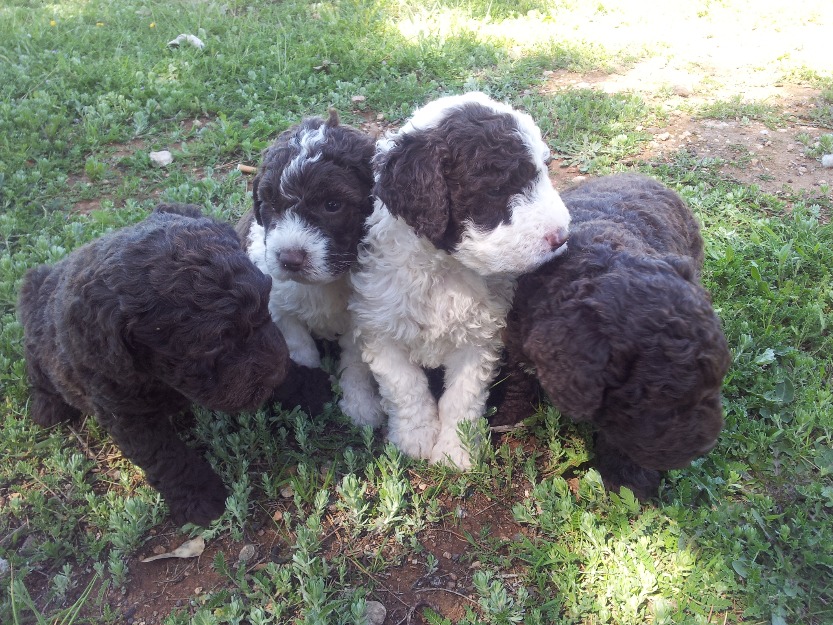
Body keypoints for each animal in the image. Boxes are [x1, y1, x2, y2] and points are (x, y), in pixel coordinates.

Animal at [17, 202, 290, 524]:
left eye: (266, 300)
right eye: (213, 346)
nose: (278, 372)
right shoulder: (127, 415)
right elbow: (167, 458)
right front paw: (200, 497)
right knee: (36, 368)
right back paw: (47, 407)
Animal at [236, 111, 382, 424]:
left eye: (332, 205)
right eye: (271, 204)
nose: (289, 259)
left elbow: (355, 364)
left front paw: (361, 407)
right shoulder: (277, 306)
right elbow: (300, 348)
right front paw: (309, 386)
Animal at [352, 92, 572, 468]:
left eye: (544, 171)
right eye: (497, 187)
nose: (561, 237)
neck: (443, 271)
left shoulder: (479, 339)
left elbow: (461, 398)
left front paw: (457, 451)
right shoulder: (382, 331)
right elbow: (405, 389)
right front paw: (415, 439)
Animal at [490, 174, 732, 498]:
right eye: (667, 404)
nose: (707, 446)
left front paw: (628, 477)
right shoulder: (514, 331)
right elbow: (517, 377)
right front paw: (507, 415)